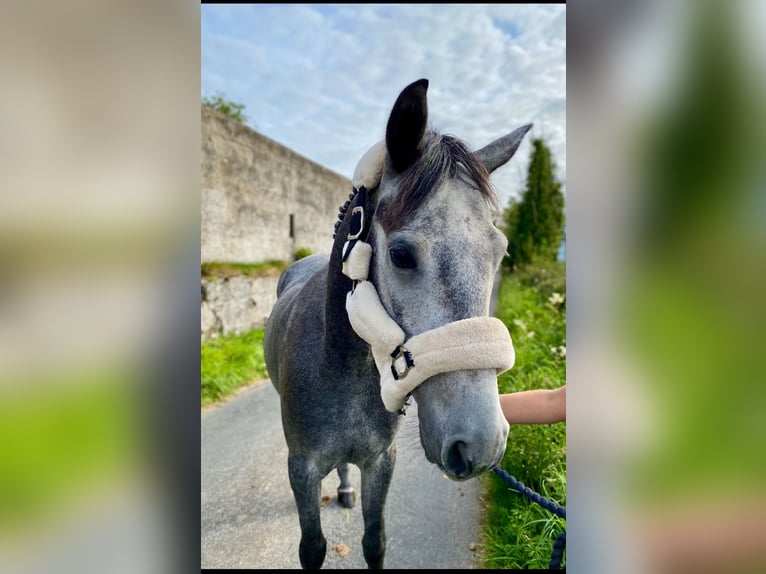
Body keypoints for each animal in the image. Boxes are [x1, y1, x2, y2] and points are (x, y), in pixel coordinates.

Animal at [264, 78, 531, 569]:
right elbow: (312, 546)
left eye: (500, 252)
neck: (341, 369)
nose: (480, 442)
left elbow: (375, 539)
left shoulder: (380, 462)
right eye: (401, 255)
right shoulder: (301, 468)